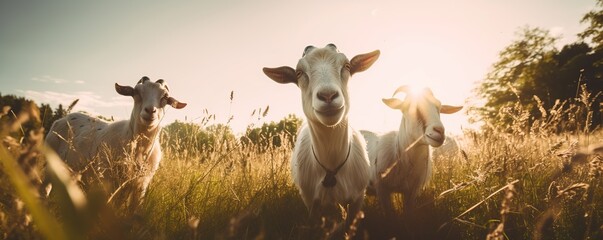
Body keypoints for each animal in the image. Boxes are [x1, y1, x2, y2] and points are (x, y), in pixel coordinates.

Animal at [264, 43, 380, 232]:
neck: (332, 165)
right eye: (299, 72)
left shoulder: (357, 198)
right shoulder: (311, 202)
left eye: (347, 65)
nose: (327, 96)